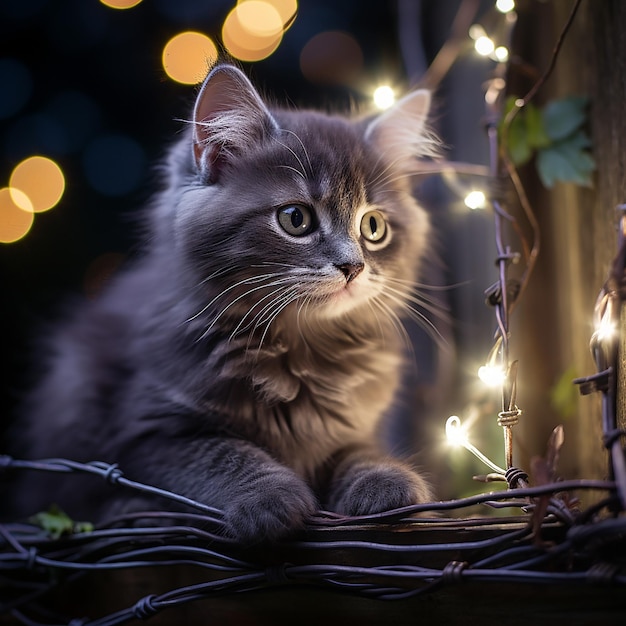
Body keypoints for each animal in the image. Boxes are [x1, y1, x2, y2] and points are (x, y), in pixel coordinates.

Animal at [7, 64, 436, 540]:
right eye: (295, 219)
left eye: (373, 227)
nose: (353, 266)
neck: (300, 351)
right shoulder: (148, 432)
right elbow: (222, 456)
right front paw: (269, 498)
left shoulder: (354, 426)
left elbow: (358, 452)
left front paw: (387, 480)